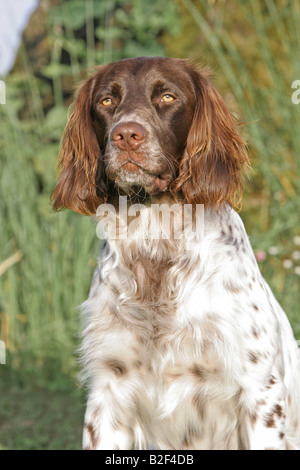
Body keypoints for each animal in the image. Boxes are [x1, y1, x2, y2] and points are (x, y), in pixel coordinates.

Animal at [51, 57, 300, 450]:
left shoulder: (259, 390)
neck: (156, 248)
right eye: (106, 101)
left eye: (167, 96)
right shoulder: (109, 389)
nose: (126, 135)